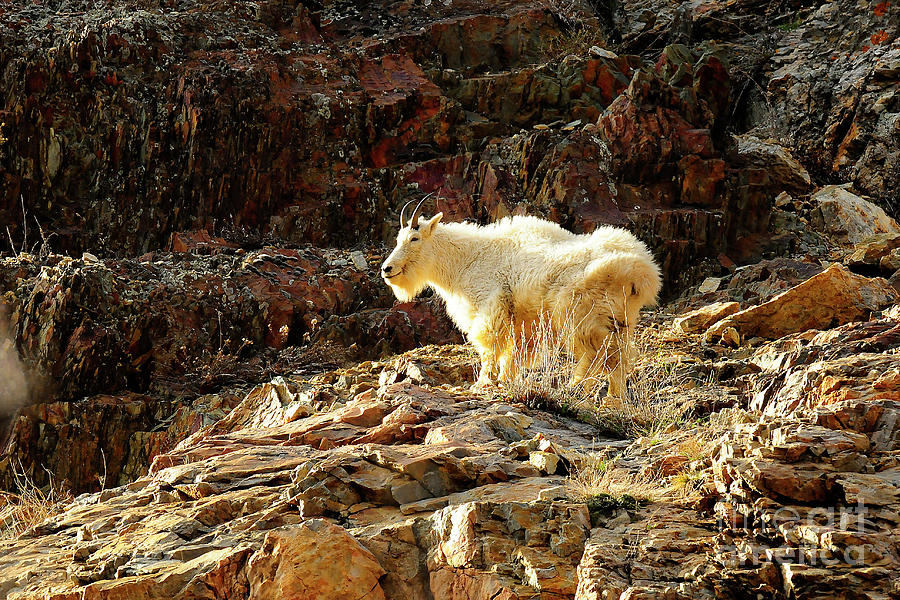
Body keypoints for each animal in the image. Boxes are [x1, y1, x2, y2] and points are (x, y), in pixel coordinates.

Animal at [380, 198, 660, 398]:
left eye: (414, 238)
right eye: (398, 239)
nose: (387, 269)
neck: (468, 258)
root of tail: (642, 273)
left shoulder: (491, 306)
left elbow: (489, 347)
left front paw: (482, 383)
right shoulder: (523, 321)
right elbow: (515, 353)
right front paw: (506, 379)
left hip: (581, 316)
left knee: (598, 355)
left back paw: (576, 387)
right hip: (619, 320)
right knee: (618, 357)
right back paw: (613, 399)